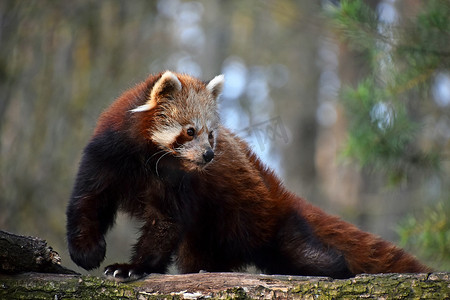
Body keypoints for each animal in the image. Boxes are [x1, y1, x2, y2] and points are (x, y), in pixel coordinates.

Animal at [65, 70, 430, 282]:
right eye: (190, 131)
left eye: (212, 135)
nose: (209, 155)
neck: (147, 160)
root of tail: (279, 191)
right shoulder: (106, 156)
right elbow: (87, 201)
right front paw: (87, 252)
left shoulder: (176, 183)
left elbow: (165, 223)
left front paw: (133, 267)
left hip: (260, 220)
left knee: (302, 252)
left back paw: (336, 269)